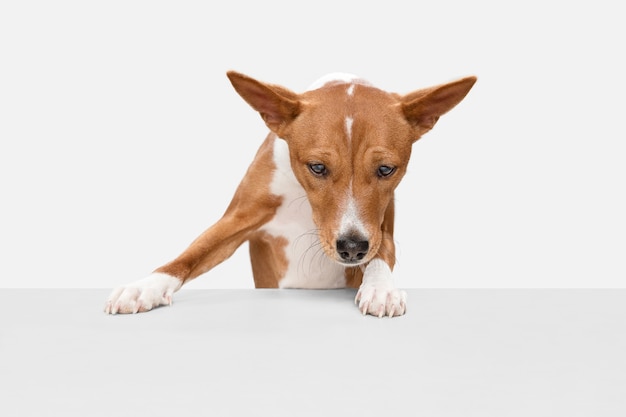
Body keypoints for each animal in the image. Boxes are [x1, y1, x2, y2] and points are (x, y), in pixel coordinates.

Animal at [103, 71, 472, 316]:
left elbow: (381, 254)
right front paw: (145, 286)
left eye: (385, 170)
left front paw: (381, 289)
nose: (352, 248)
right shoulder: (240, 218)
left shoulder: (380, 229)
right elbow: (193, 252)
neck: (304, 203)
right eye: (317, 167)